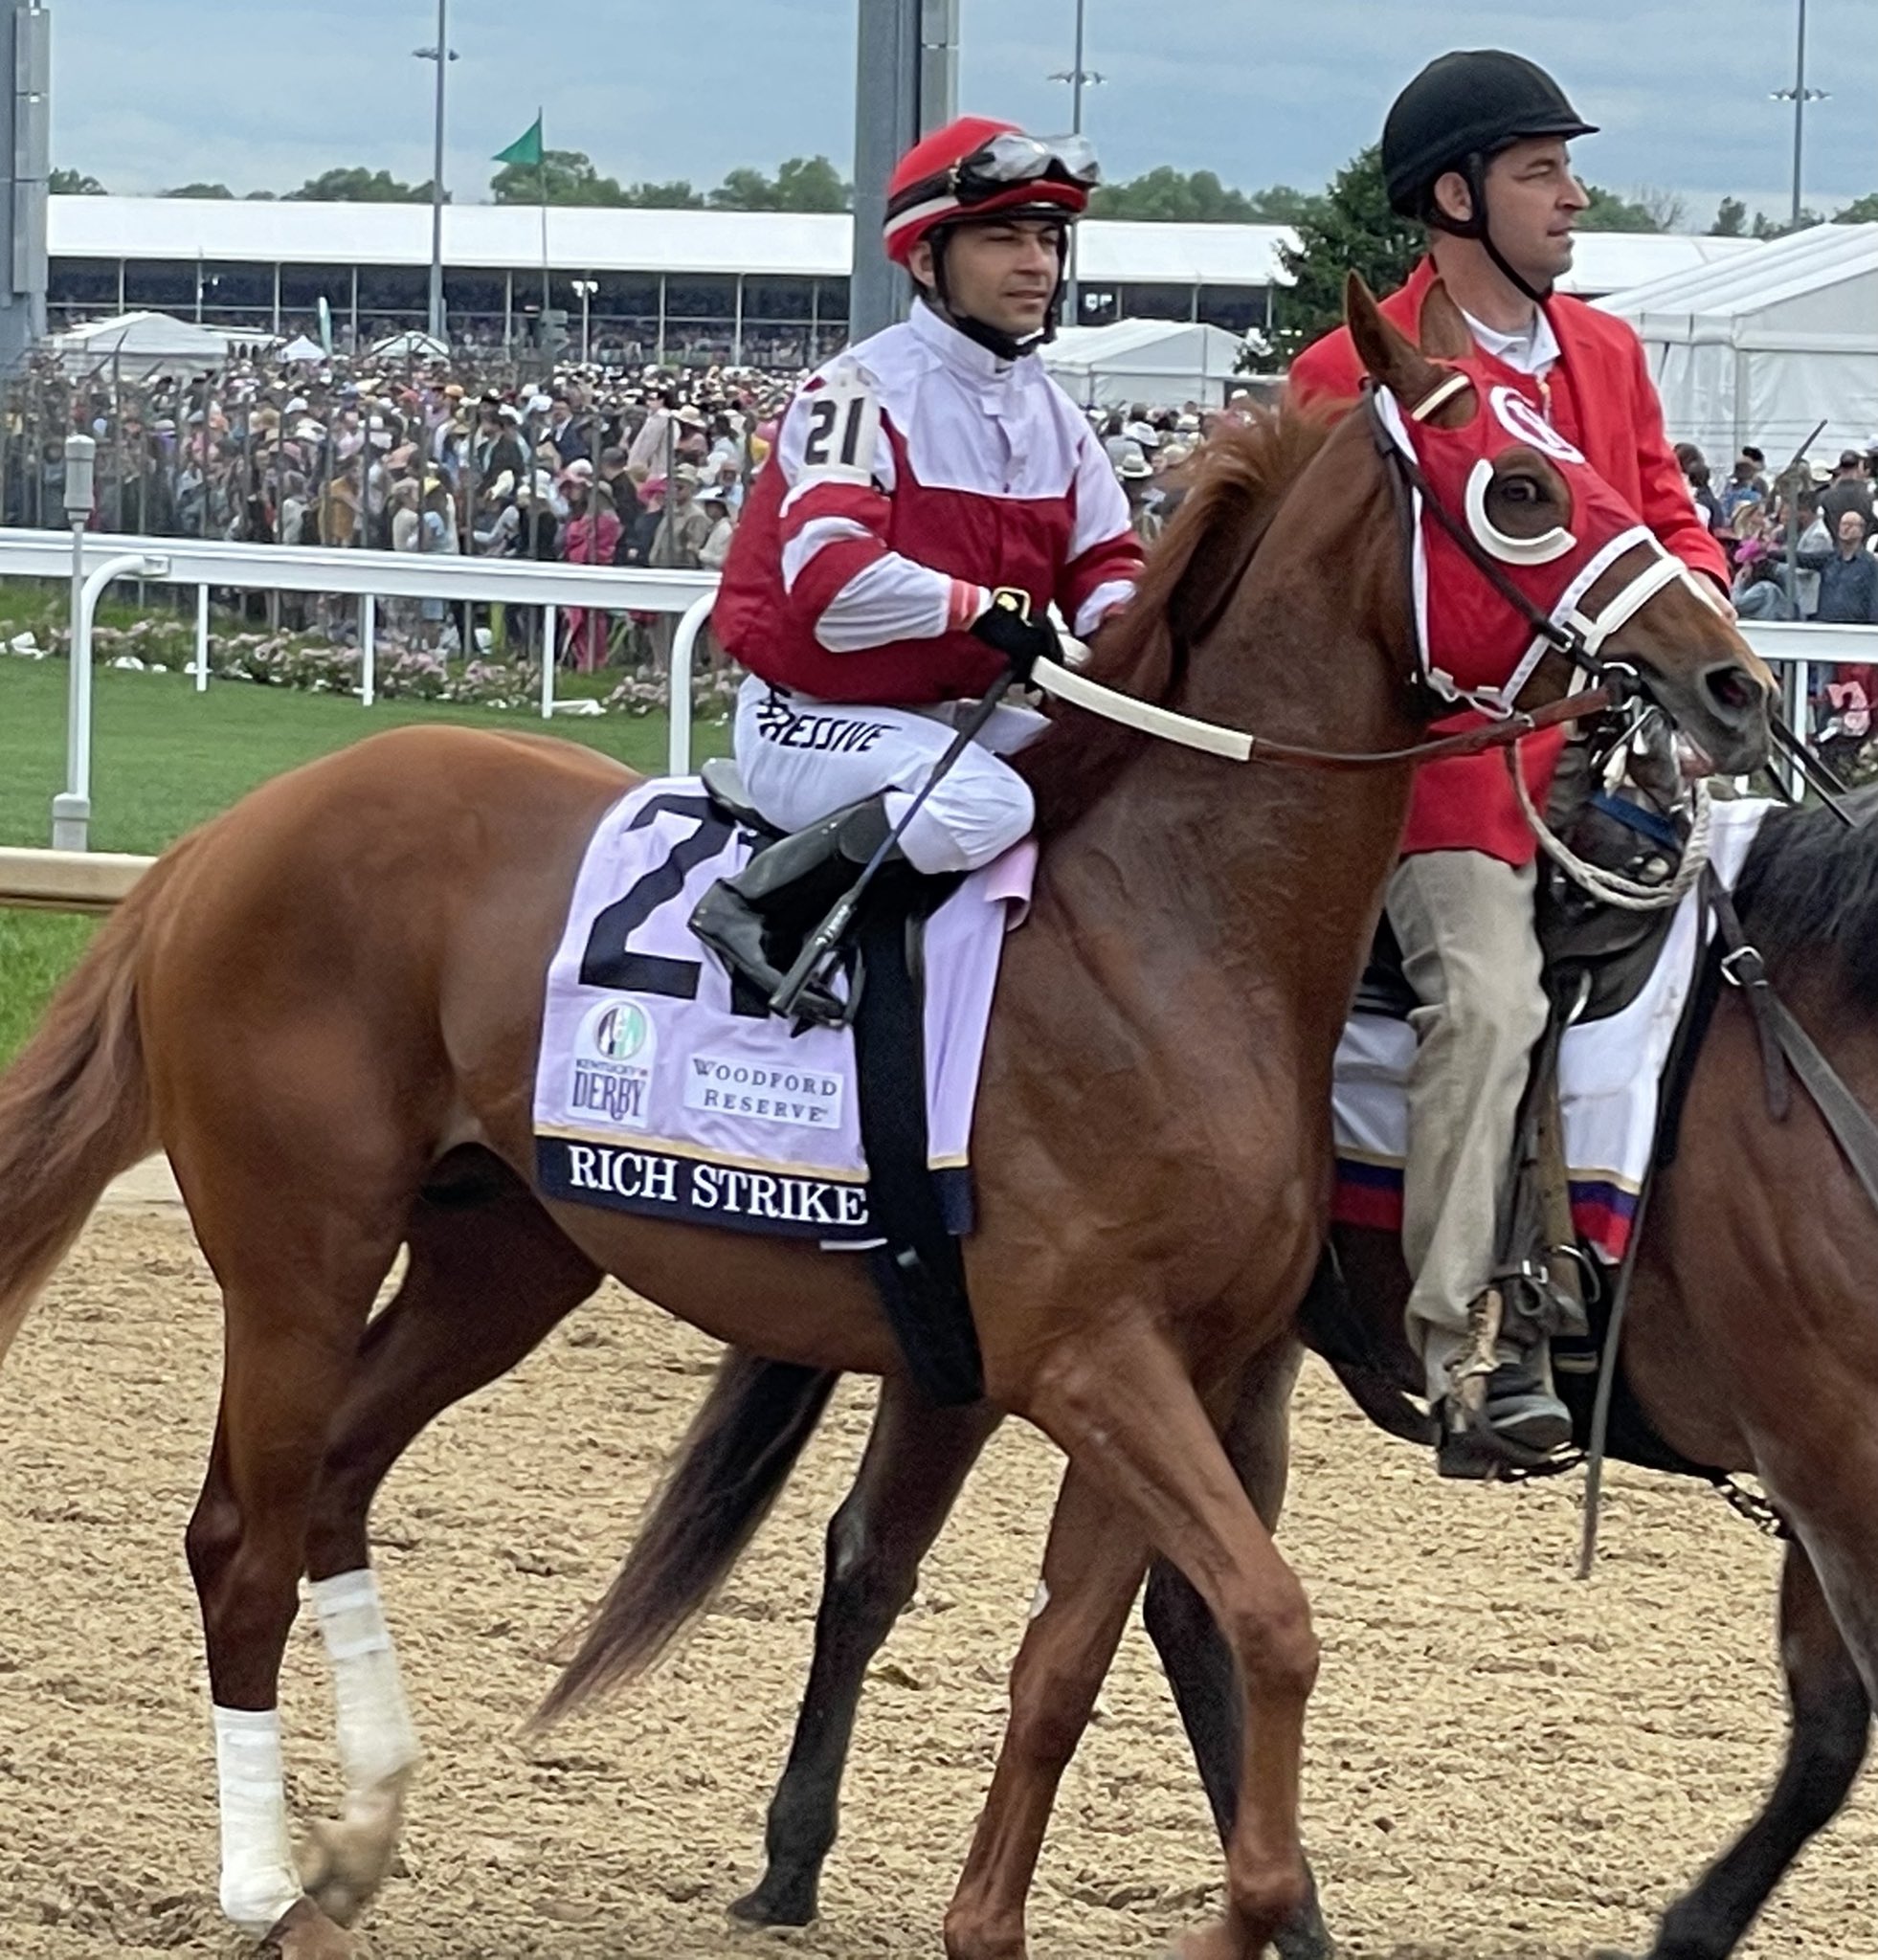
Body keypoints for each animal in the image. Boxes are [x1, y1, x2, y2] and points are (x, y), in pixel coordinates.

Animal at [0, 286, 1772, 1960]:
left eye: (1604, 461)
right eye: (1521, 491)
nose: (1734, 680)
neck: (1172, 929)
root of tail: (228, 835)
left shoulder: (1175, 1362)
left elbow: (1085, 1650)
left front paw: (1027, 1917)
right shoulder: (1091, 1358)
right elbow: (1262, 1618)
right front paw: (1248, 1905)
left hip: (496, 1253)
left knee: (335, 1492)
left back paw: (353, 1848)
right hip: (298, 1250)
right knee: (241, 1532)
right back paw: (256, 1877)